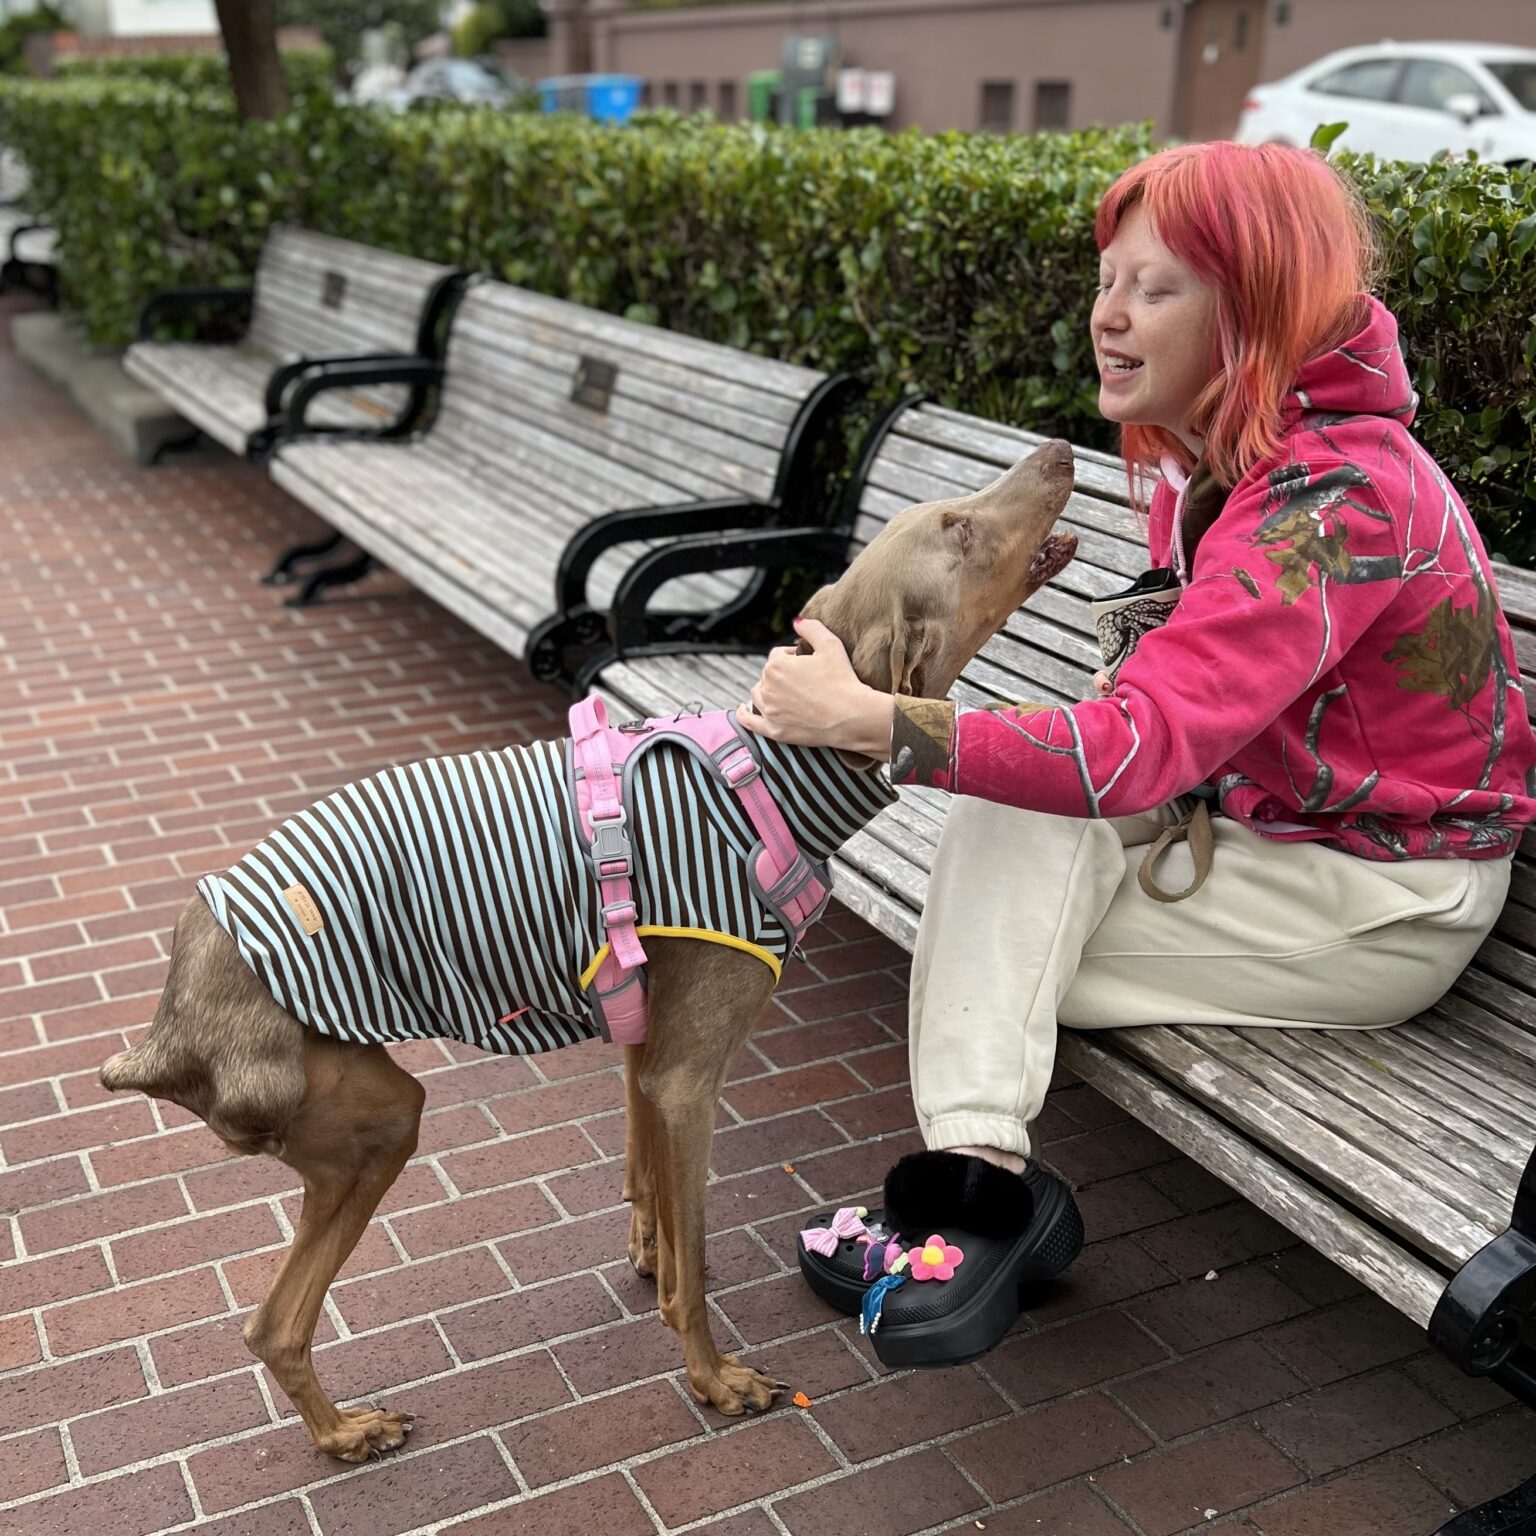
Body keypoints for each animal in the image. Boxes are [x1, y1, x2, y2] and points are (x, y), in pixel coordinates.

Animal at [99, 436, 1081, 1462]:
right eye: (957, 528)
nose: (1062, 448)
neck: (767, 773)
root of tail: (166, 1031)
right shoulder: (689, 1082)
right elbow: (697, 1267)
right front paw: (713, 1379)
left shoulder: (646, 1054)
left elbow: (647, 1190)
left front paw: (647, 1259)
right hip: (373, 1117)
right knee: (275, 1322)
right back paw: (346, 1433)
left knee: (270, 1326)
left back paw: (340, 1432)